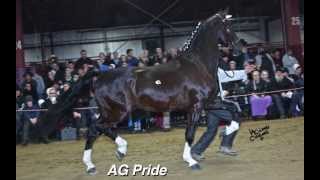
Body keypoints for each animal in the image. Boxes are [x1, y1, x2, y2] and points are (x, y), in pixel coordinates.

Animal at [37, 9, 242, 174]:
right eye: (228, 26)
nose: (239, 46)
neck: (197, 65)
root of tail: (100, 74)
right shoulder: (196, 106)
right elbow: (190, 133)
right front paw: (191, 161)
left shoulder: (209, 103)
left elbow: (233, 111)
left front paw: (226, 132)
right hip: (118, 111)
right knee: (97, 128)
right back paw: (113, 153)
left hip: (110, 110)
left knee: (97, 130)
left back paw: (97, 162)